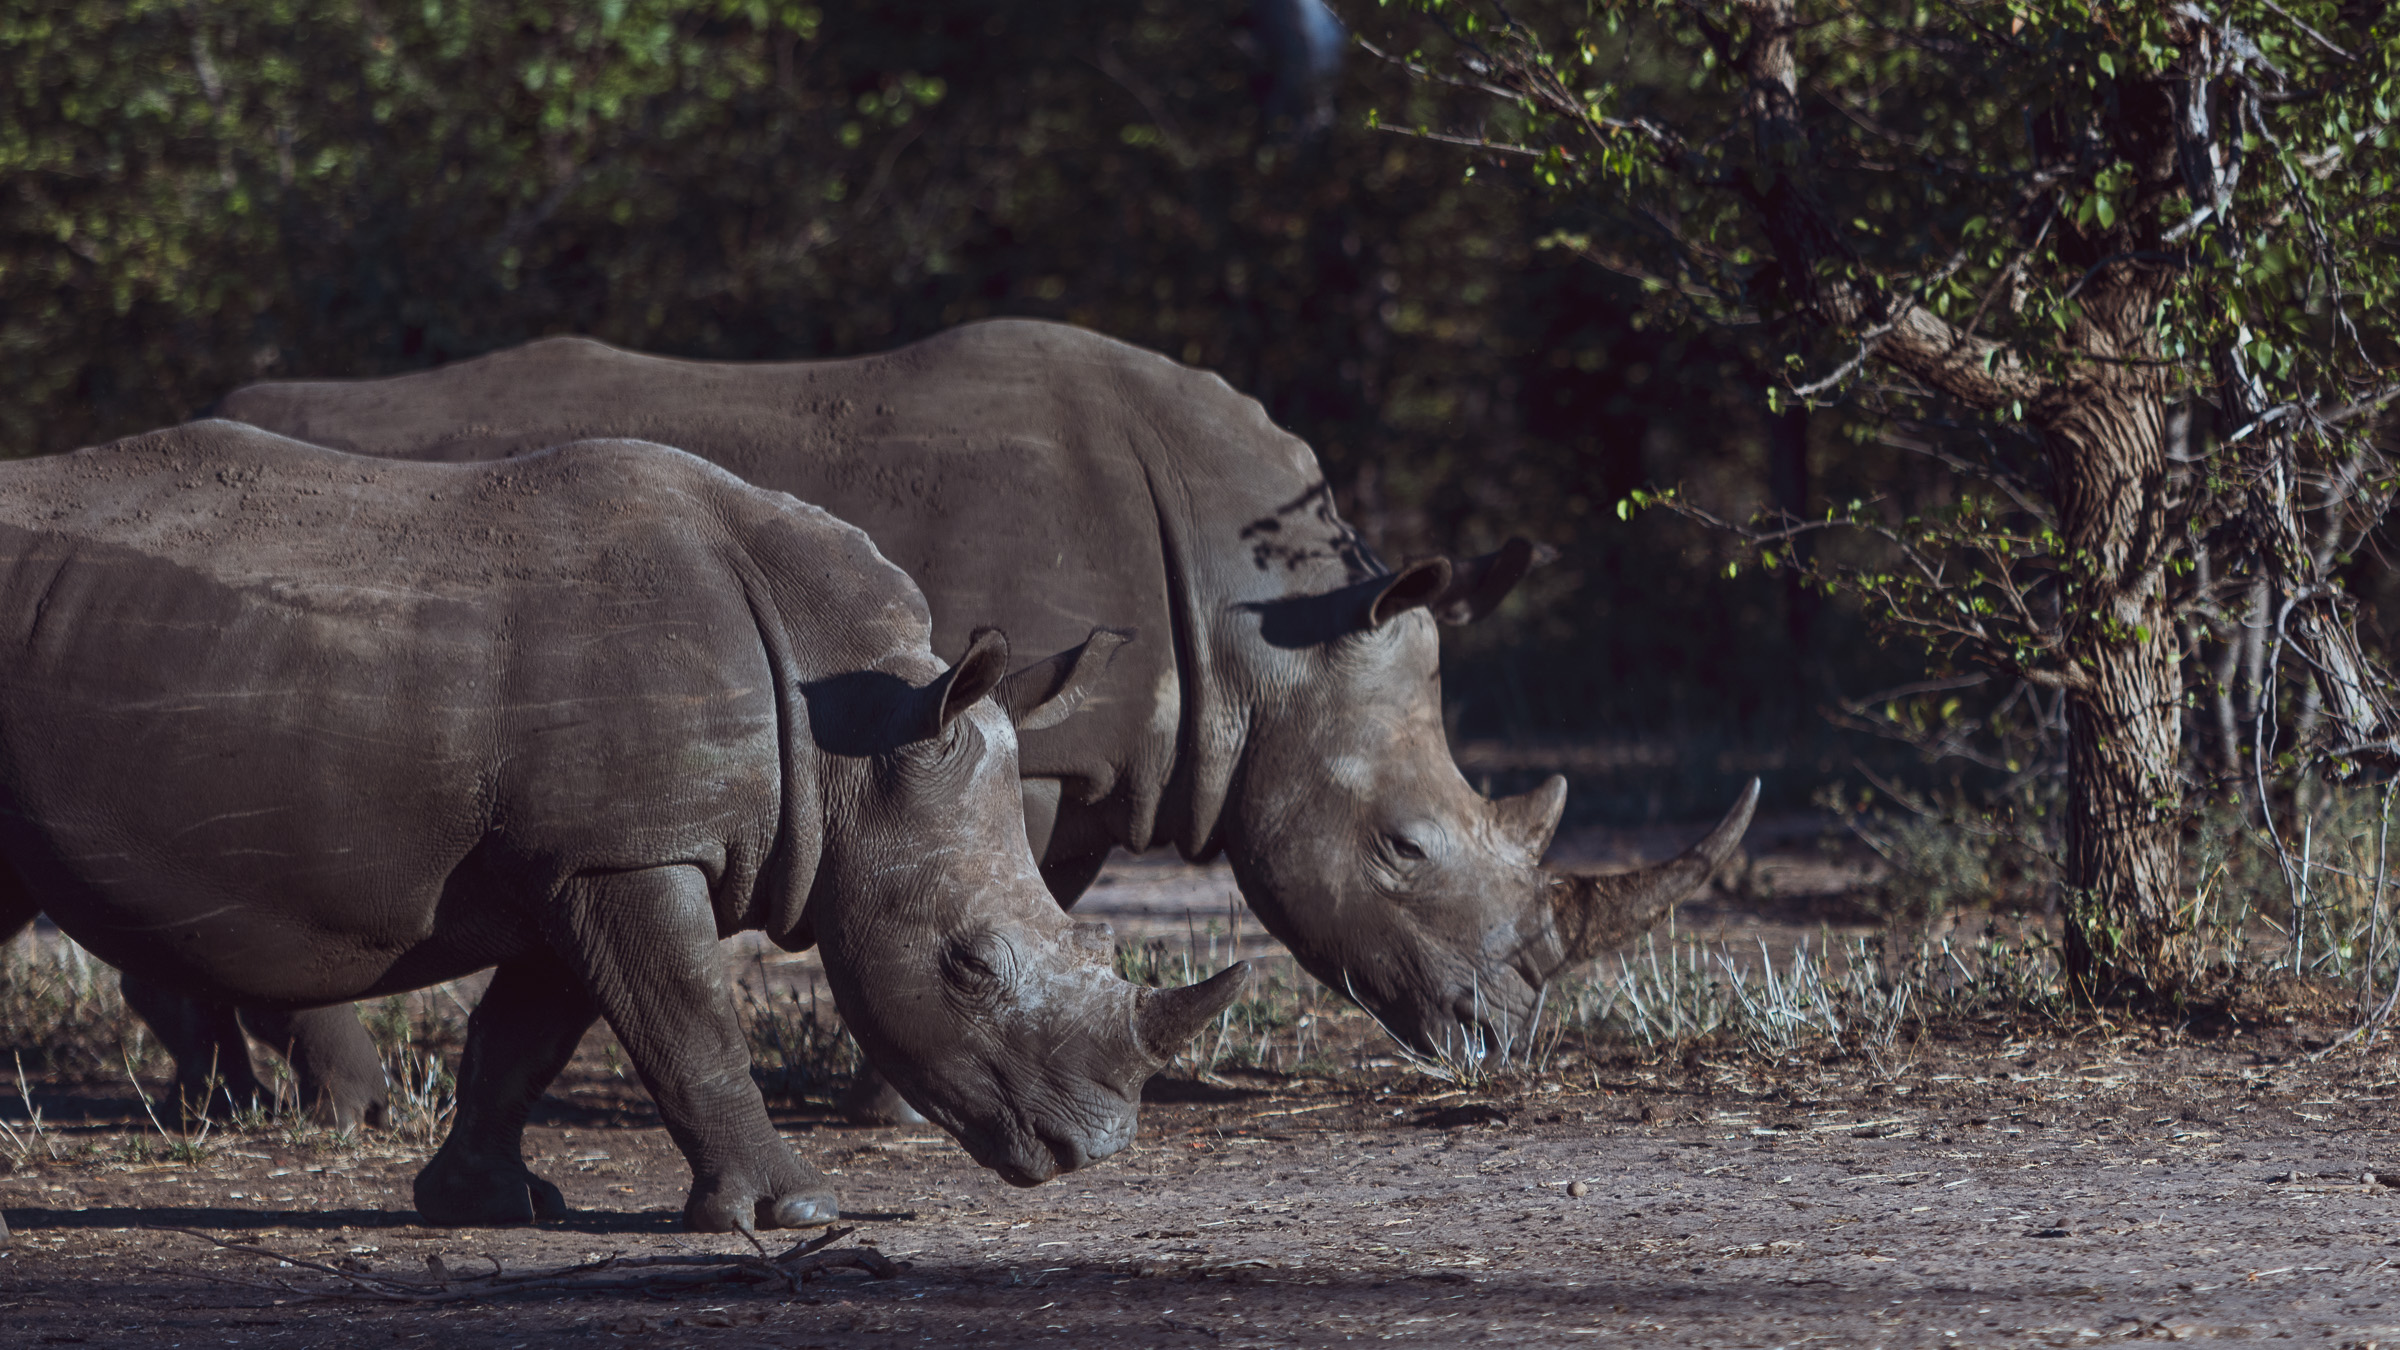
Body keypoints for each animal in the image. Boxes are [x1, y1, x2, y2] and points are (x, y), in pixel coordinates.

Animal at [0, 422, 1245, 1229]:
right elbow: (687, 1019)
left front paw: (488, 1204)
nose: (1095, 1149)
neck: (848, 733)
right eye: (969, 964)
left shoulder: (579, 851)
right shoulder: (627, 850)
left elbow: (529, 1032)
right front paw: (796, 1212)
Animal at [200, 320, 1754, 1122]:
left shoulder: (1083, 742)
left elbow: (1027, 889)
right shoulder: (1042, 736)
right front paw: (909, 1105)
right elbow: (987, 888)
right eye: (1403, 848)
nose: (1508, 1037)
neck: (1260, 627)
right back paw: (313, 1109)